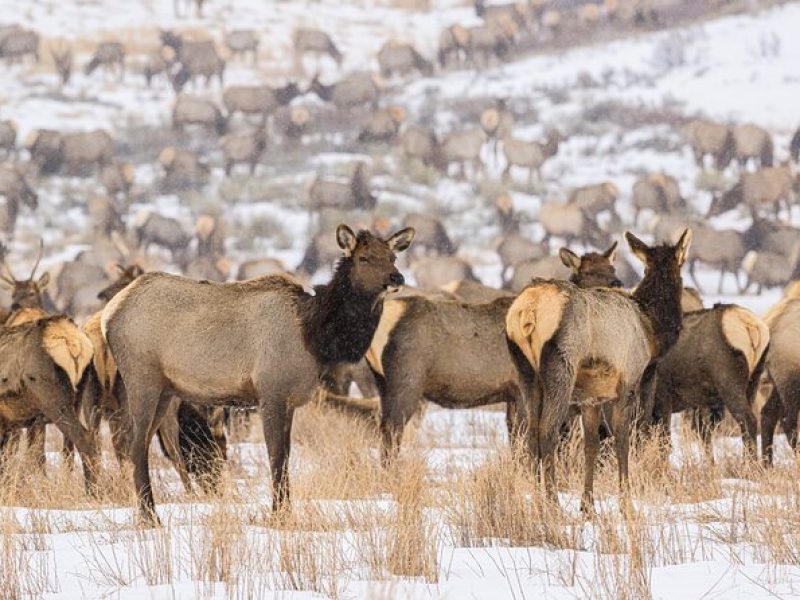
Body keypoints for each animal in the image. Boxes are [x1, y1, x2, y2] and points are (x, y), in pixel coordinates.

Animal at [101, 223, 416, 524]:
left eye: (392, 257)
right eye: (364, 258)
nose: (396, 278)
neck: (315, 337)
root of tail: (108, 315)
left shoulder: (289, 400)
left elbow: (285, 455)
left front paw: (285, 511)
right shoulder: (271, 391)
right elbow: (275, 455)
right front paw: (278, 514)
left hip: (165, 391)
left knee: (141, 442)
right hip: (142, 379)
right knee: (134, 443)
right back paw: (149, 516)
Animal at [372, 244, 620, 464]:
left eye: (612, 269)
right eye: (587, 272)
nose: (617, 283)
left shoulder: (511, 395)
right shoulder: (520, 389)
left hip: (383, 383)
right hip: (406, 380)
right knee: (392, 432)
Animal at [510, 229, 692, 510]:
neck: (650, 330)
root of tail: (529, 309)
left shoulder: (591, 397)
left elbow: (591, 445)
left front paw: (588, 506)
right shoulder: (628, 382)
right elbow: (623, 440)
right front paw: (626, 503)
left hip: (525, 371)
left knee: (530, 433)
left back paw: (539, 503)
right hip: (561, 366)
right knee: (548, 431)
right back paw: (553, 505)